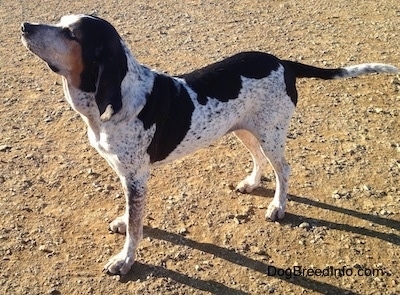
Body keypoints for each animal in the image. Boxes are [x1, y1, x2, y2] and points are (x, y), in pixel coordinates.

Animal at [21, 15, 396, 276]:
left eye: (71, 34)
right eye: (60, 20)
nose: (25, 25)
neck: (116, 98)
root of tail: (283, 62)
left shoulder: (137, 177)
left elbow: (137, 228)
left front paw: (125, 259)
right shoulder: (126, 174)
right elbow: (132, 215)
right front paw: (124, 223)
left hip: (271, 134)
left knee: (284, 170)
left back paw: (277, 206)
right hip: (244, 129)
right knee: (258, 160)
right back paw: (251, 184)